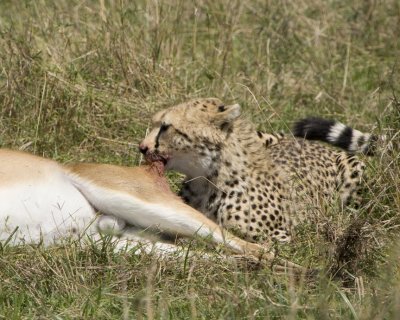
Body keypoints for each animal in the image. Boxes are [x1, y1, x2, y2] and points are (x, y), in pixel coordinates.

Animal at [139, 99, 374, 244]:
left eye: (166, 127)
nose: (142, 147)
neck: (206, 181)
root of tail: (303, 141)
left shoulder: (280, 238)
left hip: (353, 171)